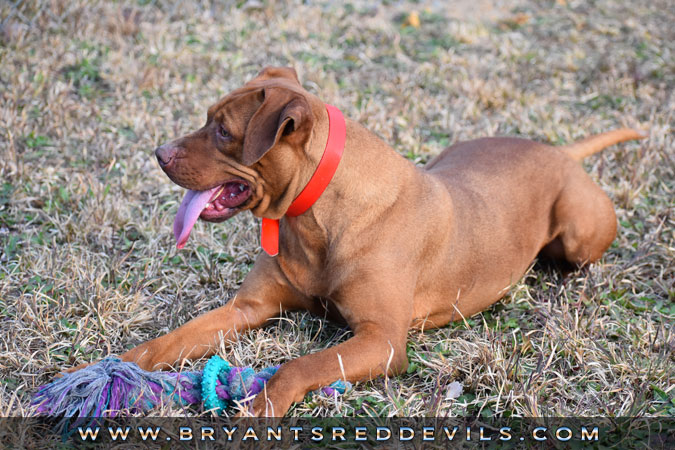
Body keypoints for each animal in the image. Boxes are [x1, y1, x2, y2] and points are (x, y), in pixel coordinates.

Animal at [99, 66, 644, 414]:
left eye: (224, 131)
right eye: (208, 118)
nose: (158, 152)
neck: (314, 219)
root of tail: (559, 152)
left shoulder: (380, 341)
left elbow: (299, 366)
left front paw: (259, 410)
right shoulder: (245, 309)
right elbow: (167, 342)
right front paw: (112, 369)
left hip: (578, 238)